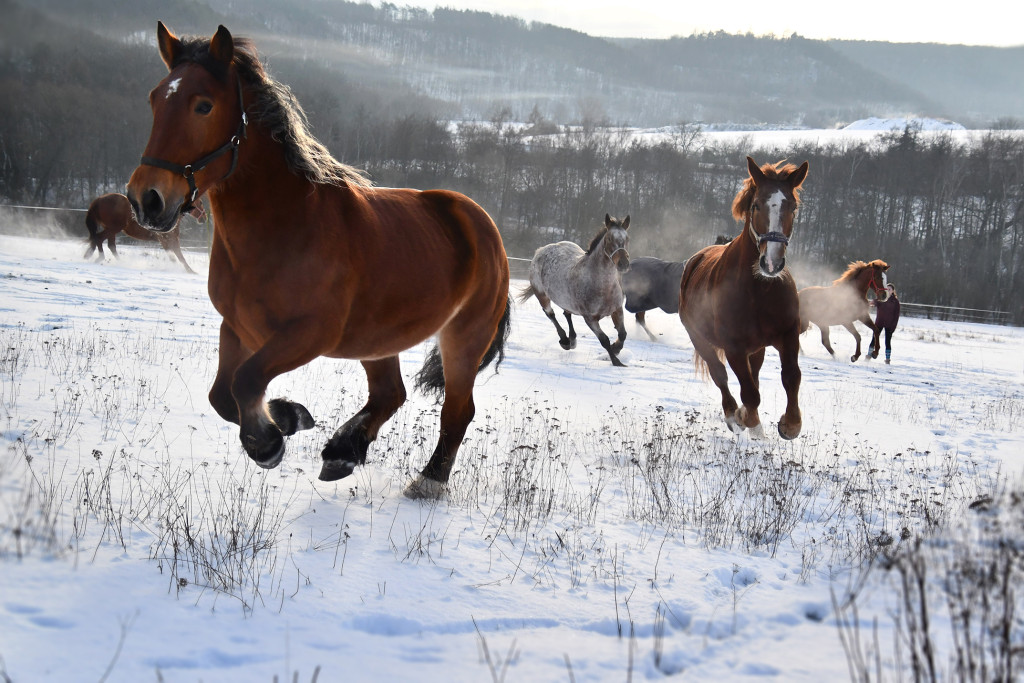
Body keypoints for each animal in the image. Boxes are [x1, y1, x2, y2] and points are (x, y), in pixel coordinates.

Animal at [125, 24, 512, 499]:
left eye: (203, 105)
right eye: (155, 99)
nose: (146, 199)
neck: (284, 227)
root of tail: (484, 225)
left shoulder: (309, 334)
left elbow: (245, 382)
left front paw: (268, 441)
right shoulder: (238, 327)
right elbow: (223, 394)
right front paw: (288, 417)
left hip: (463, 338)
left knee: (457, 410)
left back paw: (428, 480)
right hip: (378, 339)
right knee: (390, 394)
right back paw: (343, 452)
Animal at [520, 216, 630, 368]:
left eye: (627, 238)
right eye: (609, 239)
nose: (623, 263)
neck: (603, 287)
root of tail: (541, 250)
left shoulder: (617, 310)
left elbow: (623, 334)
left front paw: (616, 349)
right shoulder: (590, 318)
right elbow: (604, 340)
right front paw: (616, 361)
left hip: (566, 301)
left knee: (567, 314)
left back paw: (572, 339)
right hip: (542, 295)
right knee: (550, 314)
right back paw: (565, 340)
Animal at [679, 156, 806, 438]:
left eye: (793, 208)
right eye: (756, 205)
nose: (772, 262)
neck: (759, 292)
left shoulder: (787, 335)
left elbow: (792, 377)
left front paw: (790, 424)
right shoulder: (734, 347)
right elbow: (749, 393)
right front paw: (750, 424)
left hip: (756, 350)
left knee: (754, 376)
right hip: (700, 339)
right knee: (721, 375)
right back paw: (732, 414)